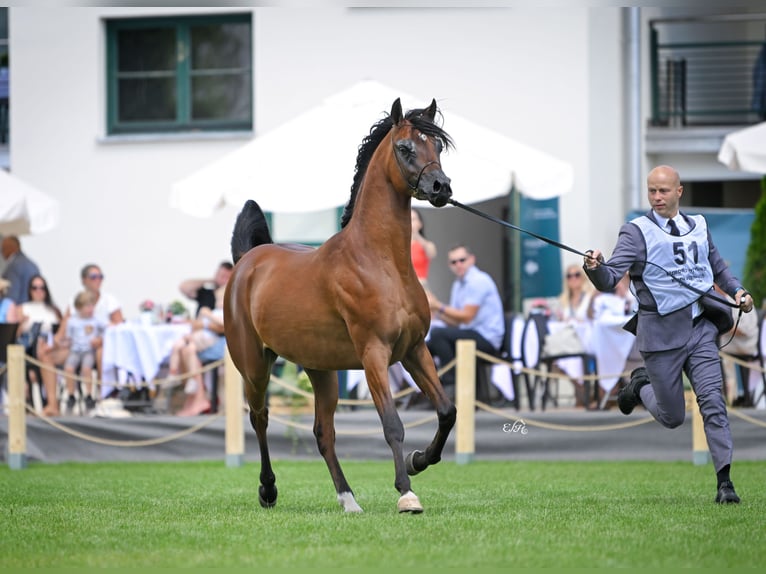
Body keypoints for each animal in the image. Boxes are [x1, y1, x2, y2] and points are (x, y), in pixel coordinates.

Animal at [225, 97, 460, 516]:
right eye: (405, 147)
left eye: (437, 146)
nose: (441, 187)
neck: (379, 261)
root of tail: (247, 262)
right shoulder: (374, 354)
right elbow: (392, 424)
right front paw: (406, 493)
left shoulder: (414, 350)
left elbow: (447, 412)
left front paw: (418, 460)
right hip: (254, 366)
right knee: (260, 418)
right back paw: (268, 490)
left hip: (321, 370)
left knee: (323, 433)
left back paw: (348, 499)